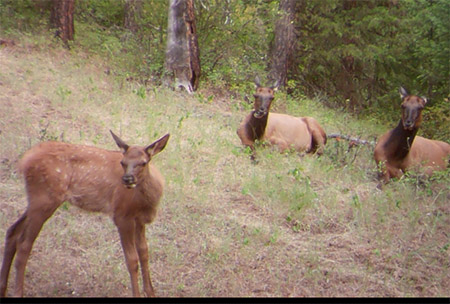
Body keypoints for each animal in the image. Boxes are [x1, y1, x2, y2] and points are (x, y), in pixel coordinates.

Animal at [0, 131, 170, 296]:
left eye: (143, 162)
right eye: (123, 162)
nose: (127, 179)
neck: (145, 201)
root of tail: (25, 160)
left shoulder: (139, 219)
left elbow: (144, 253)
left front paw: (151, 293)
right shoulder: (122, 215)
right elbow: (132, 259)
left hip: (38, 202)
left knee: (12, 231)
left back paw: (3, 288)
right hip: (44, 198)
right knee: (24, 243)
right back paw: (18, 292)